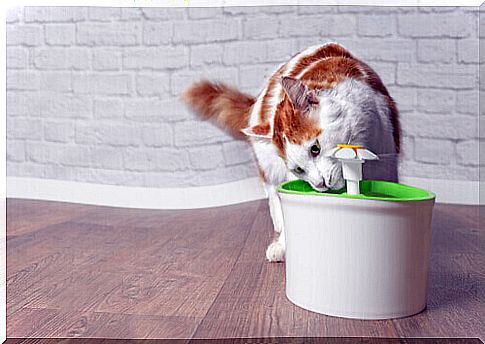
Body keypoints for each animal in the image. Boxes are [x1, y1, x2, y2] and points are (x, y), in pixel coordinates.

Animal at [182, 42, 400, 264]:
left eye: (315, 149)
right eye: (299, 170)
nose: (320, 184)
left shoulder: (386, 158)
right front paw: (283, 245)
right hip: (268, 164)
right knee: (272, 191)